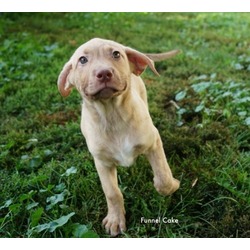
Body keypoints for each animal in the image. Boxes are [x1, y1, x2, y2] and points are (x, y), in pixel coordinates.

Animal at [57, 38, 180, 235]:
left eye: (116, 54)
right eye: (82, 60)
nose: (104, 73)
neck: (112, 115)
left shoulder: (153, 142)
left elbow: (163, 179)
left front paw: (172, 185)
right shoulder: (101, 162)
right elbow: (112, 192)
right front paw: (115, 219)